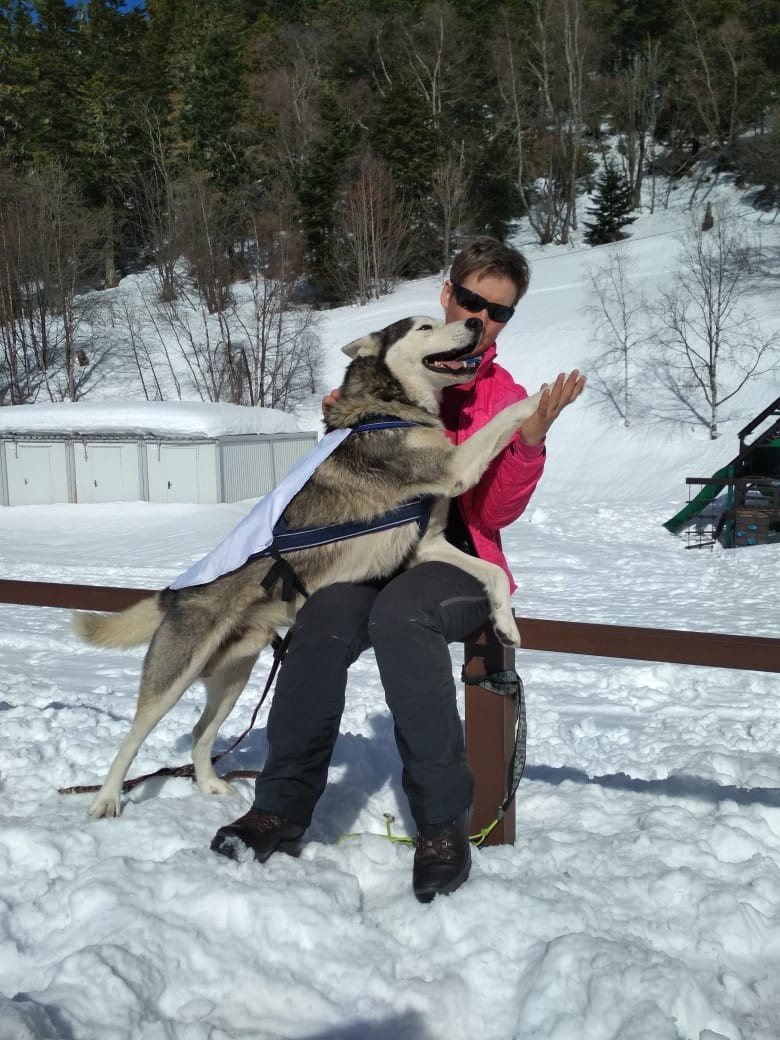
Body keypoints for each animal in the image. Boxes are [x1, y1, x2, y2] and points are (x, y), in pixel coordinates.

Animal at [76, 312, 544, 815]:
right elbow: (507, 416)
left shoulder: (427, 544)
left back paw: (211, 786)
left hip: (234, 676)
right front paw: (548, 395)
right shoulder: (454, 469)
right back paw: (106, 799)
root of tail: (174, 594)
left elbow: (493, 574)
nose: (475, 322)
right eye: (424, 327)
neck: (387, 407)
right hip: (172, 679)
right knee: (133, 738)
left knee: (202, 734)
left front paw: (505, 625)